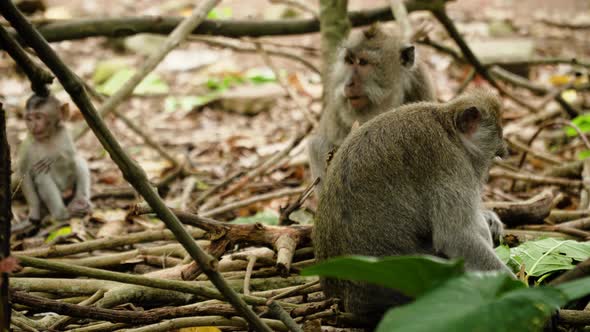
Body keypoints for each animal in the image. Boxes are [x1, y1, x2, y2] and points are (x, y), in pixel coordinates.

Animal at [16, 93, 91, 223]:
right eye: (29, 119)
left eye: (38, 117)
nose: (33, 125)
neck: (48, 137)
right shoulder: (27, 145)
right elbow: (24, 173)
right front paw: (34, 210)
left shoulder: (64, 133)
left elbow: (72, 153)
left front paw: (56, 156)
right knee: (43, 176)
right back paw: (62, 213)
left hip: (69, 186)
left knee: (78, 161)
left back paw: (80, 201)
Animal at [316, 89, 516, 326]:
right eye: (494, 151)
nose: (504, 150)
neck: (448, 127)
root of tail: (340, 298)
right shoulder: (450, 163)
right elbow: (456, 237)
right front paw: (514, 288)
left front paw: (491, 219)